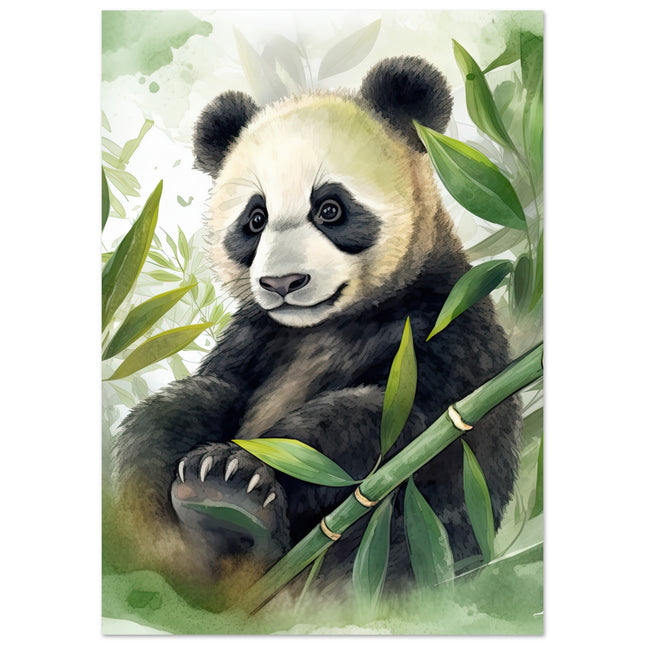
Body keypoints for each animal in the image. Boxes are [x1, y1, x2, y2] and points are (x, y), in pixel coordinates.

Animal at [110, 56, 521, 606]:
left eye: (330, 208)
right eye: (255, 219)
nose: (282, 283)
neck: (330, 324)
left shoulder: (442, 324)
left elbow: (394, 425)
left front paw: (242, 471)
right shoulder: (259, 337)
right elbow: (200, 397)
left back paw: (231, 502)